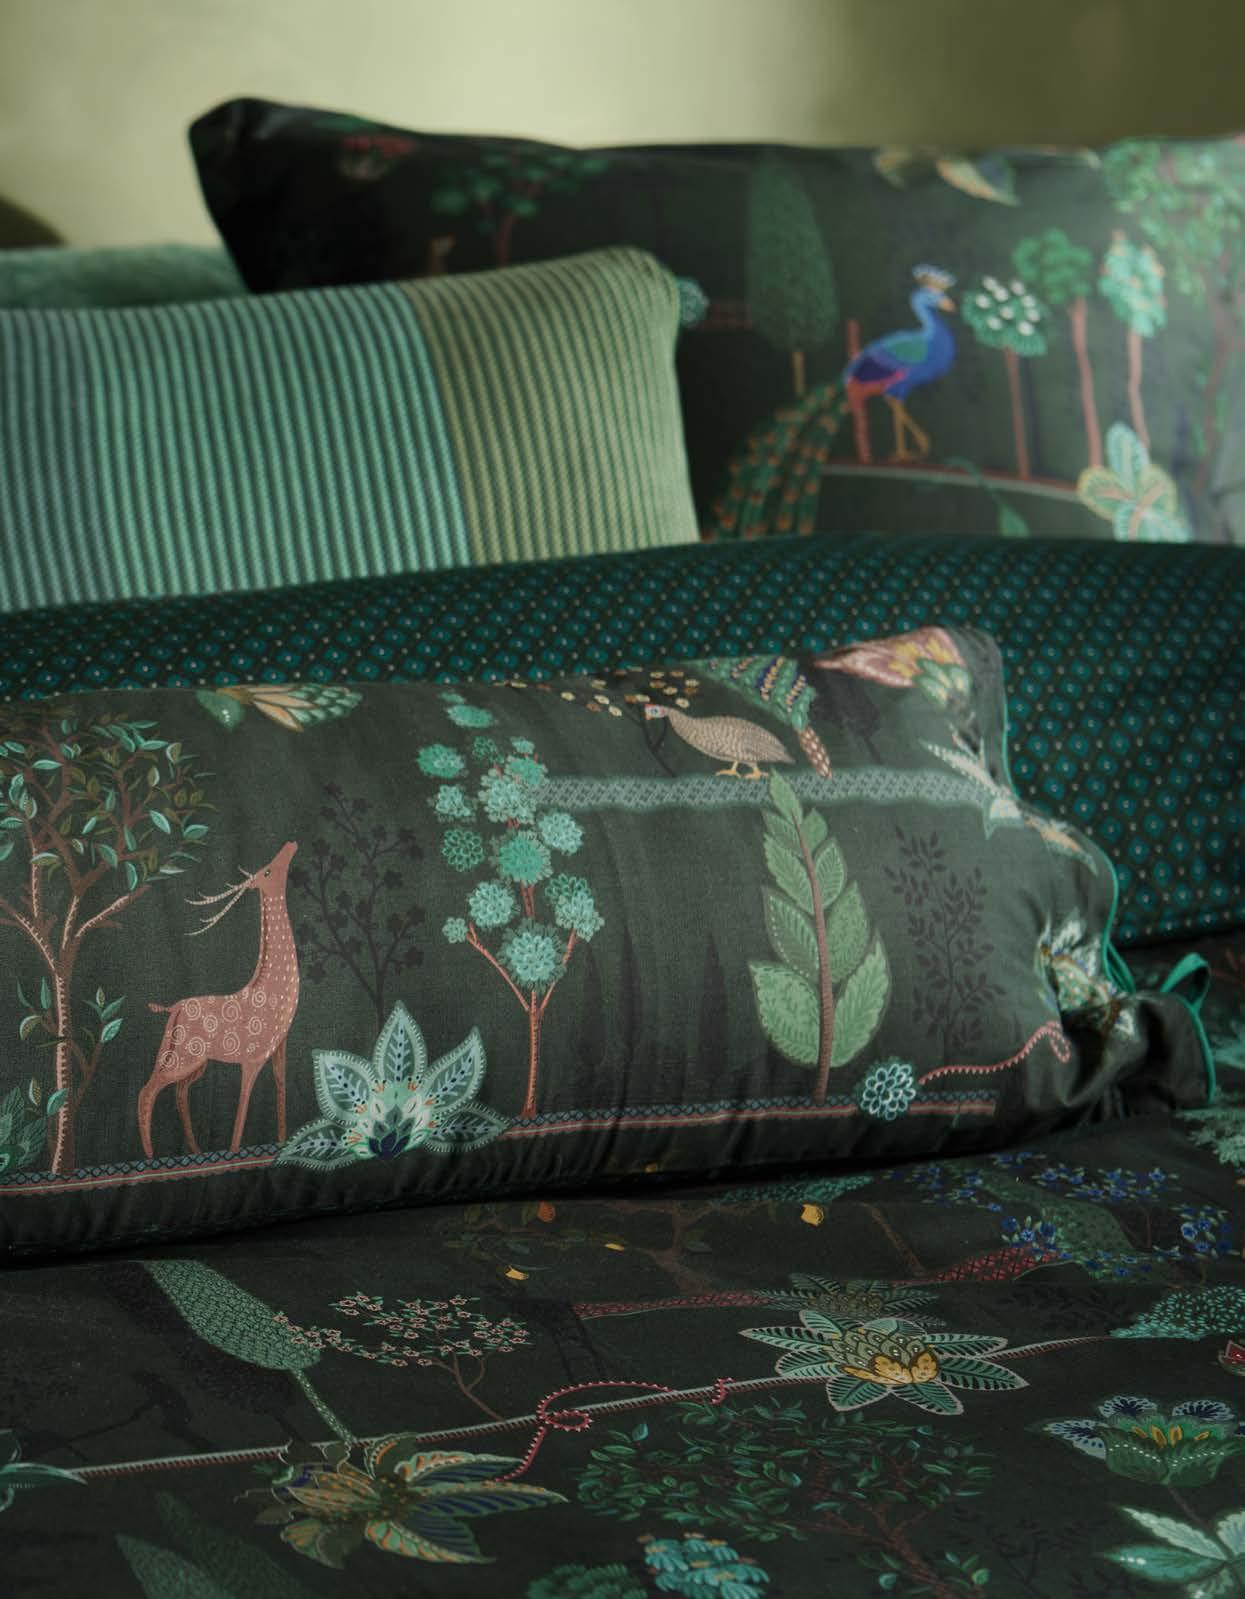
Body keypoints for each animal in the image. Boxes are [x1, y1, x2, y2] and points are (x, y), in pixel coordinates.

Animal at [137, 841, 300, 1159]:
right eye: (267, 870)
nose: (290, 844)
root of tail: (173, 1009)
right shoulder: (252, 1057)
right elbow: (243, 1103)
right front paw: (235, 1153)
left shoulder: (279, 1046)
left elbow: (280, 1087)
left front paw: (281, 1142)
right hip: (183, 1055)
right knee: (147, 1090)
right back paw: (150, 1155)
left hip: (195, 1061)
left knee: (179, 1093)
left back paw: (195, 1150)